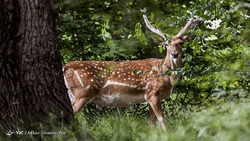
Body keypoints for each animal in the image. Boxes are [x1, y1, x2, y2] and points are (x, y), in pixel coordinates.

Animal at [63, 14, 202, 131]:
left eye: (181, 43)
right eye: (166, 44)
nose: (174, 54)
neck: (166, 76)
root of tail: (65, 67)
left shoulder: (149, 97)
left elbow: (152, 121)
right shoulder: (152, 92)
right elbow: (162, 119)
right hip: (82, 92)